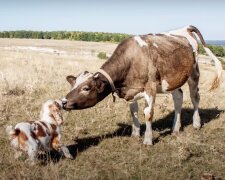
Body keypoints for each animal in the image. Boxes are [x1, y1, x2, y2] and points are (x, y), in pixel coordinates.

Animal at [62, 26, 222, 146]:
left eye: (86, 88)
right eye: (72, 85)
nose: (63, 102)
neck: (132, 59)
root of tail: (185, 28)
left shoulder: (150, 88)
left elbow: (148, 113)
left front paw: (148, 139)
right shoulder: (131, 90)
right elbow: (133, 112)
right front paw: (135, 134)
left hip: (194, 73)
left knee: (195, 97)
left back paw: (196, 124)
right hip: (174, 79)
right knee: (178, 98)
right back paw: (175, 128)